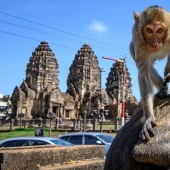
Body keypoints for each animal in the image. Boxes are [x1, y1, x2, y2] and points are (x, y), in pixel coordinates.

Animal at [130, 5, 170, 141]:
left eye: (159, 30)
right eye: (149, 30)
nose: (154, 43)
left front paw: (168, 72)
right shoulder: (138, 40)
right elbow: (144, 73)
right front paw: (148, 119)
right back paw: (163, 89)